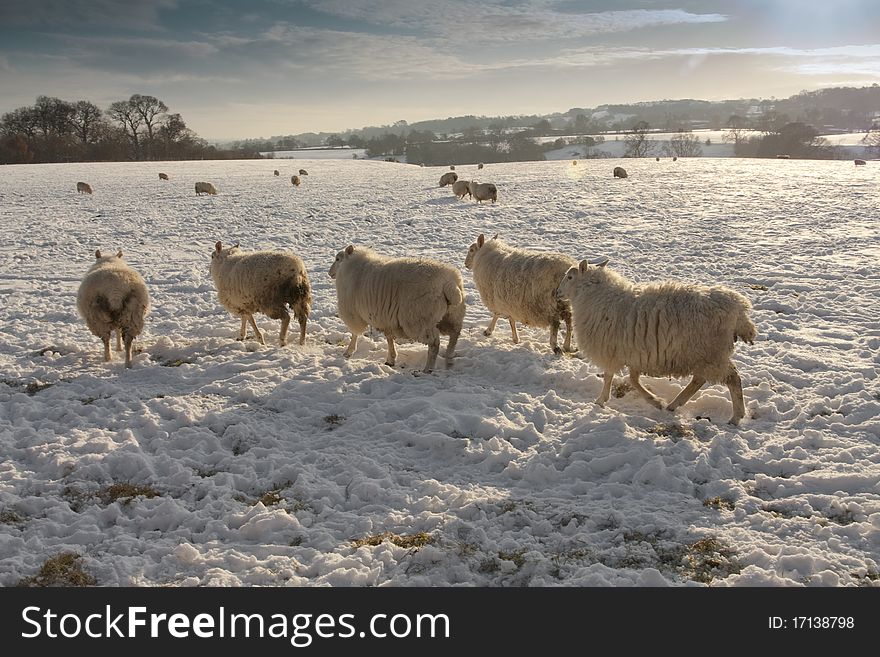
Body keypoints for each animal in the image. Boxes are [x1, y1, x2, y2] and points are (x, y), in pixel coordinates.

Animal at [330, 243, 468, 372]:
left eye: (337, 259)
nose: (330, 273)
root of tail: (449, 284)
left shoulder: (353, 313)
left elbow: (354, 333)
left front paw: (349, 351)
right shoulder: (385, 318)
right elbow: (389, 338)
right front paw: (391, 359)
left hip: (419, 319)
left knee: (434, 343)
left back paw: (428, 369)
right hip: (452, 315)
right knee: (455, 334)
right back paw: (449, 359)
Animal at [556, 258, 756, 422]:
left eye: (570, 277)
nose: (557, 292)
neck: (596, 297)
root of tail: (739, 308)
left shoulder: (611, 350)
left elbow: (610, 377)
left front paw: (601, 400)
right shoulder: (634, 353)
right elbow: (632, 379)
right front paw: (655, 401)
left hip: (711, 352)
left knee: (732, 379)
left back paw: (736, 417)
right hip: (704, 354)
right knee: (699, 380)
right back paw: (674, 404)